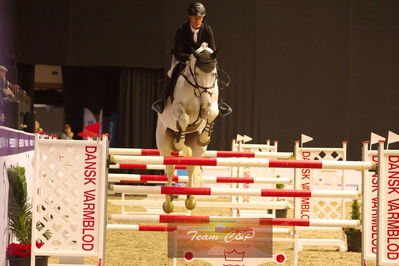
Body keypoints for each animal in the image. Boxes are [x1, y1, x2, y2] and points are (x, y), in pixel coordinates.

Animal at [156, 42, 220, 213]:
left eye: (214, 74)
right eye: (197, 73)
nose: (204, 102)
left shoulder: (212, 104)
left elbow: (212, 112)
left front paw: (204, 137)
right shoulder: (177, 109)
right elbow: (184, 119)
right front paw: (178, 142)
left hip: (197, 149)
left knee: (191, 166)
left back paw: (190, 199)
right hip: (163, 143)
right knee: (170, 168)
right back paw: (168, 202)